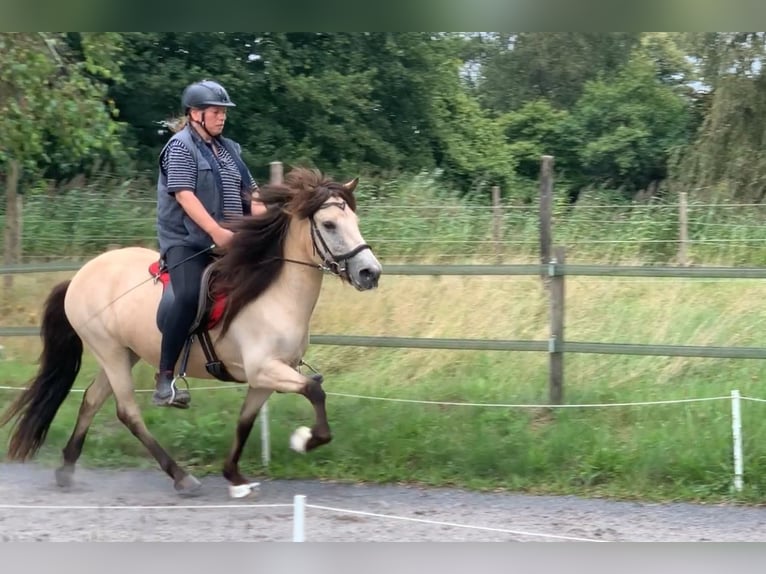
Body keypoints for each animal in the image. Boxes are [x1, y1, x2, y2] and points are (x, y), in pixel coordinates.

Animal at [0, 166, 384, 500]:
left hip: (124, 352)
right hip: (109, 351)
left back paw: (66, 470)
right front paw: (304, 440)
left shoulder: (264, 377)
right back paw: (181, 477)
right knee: (128, 412)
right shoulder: (265, 369)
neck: (272, 293)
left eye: (355, 222)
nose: (370, 273)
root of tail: (79, 276)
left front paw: (235, 477)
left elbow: (246, 422)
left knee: (92, 400)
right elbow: (315, 391)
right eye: (329, 224)